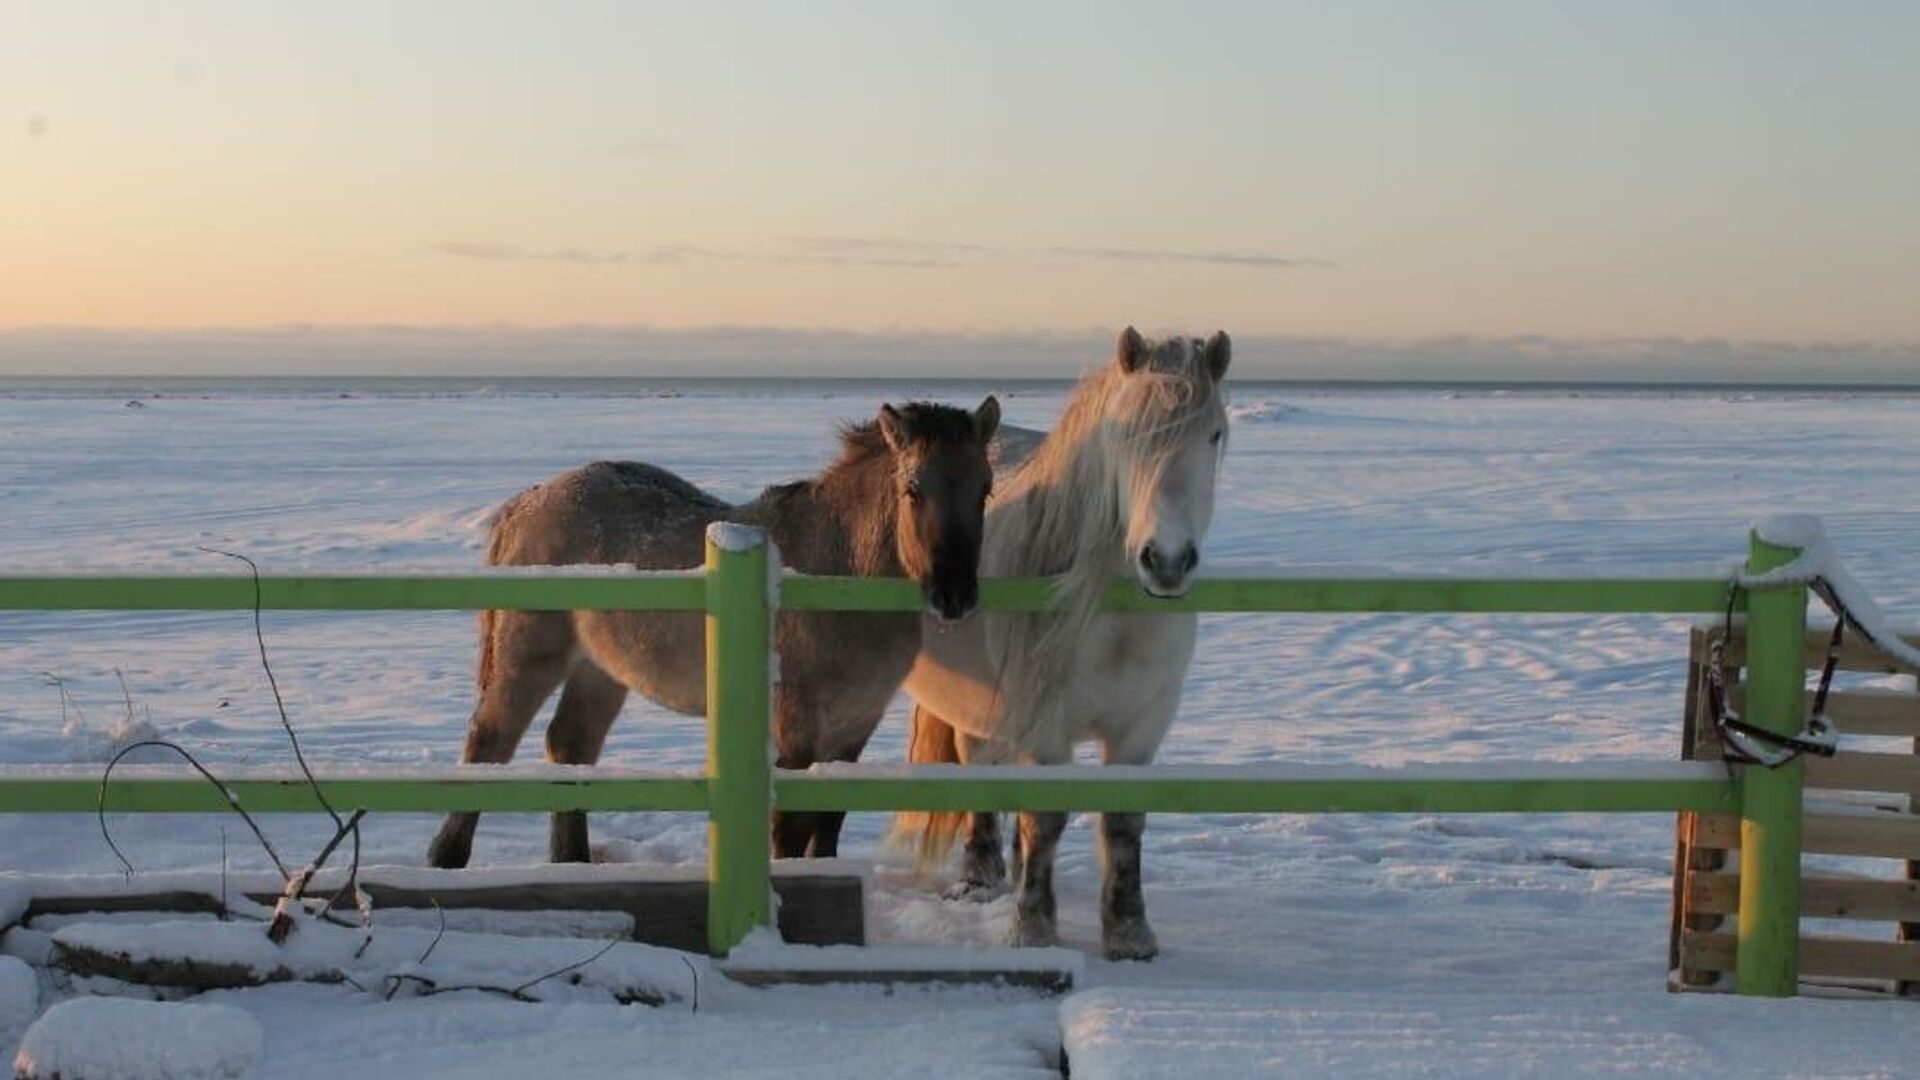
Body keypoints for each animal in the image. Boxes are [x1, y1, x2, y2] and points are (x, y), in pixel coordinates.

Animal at [432, 397, 1006, 864]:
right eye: (913, 489)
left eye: (984, 489)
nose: (954, 595)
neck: (835, 569)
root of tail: (526, 502)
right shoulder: (796, 731)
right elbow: (790, 833)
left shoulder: (853, 730)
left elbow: (828, 826)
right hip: (528, 660)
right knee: (489, 743)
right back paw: (448, 858)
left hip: (600, 671)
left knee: (570, 745)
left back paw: (572, 862)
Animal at [898, 322, 1228, 953]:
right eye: (1125, 435)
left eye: (1216, 435)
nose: (1167, 561)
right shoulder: (1046, 722)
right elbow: (1045, 818)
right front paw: (1032, 927)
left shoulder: (1140, 728)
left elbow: (1123, 821)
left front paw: (1129, 933)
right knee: (980, 771)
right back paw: (981, 879)